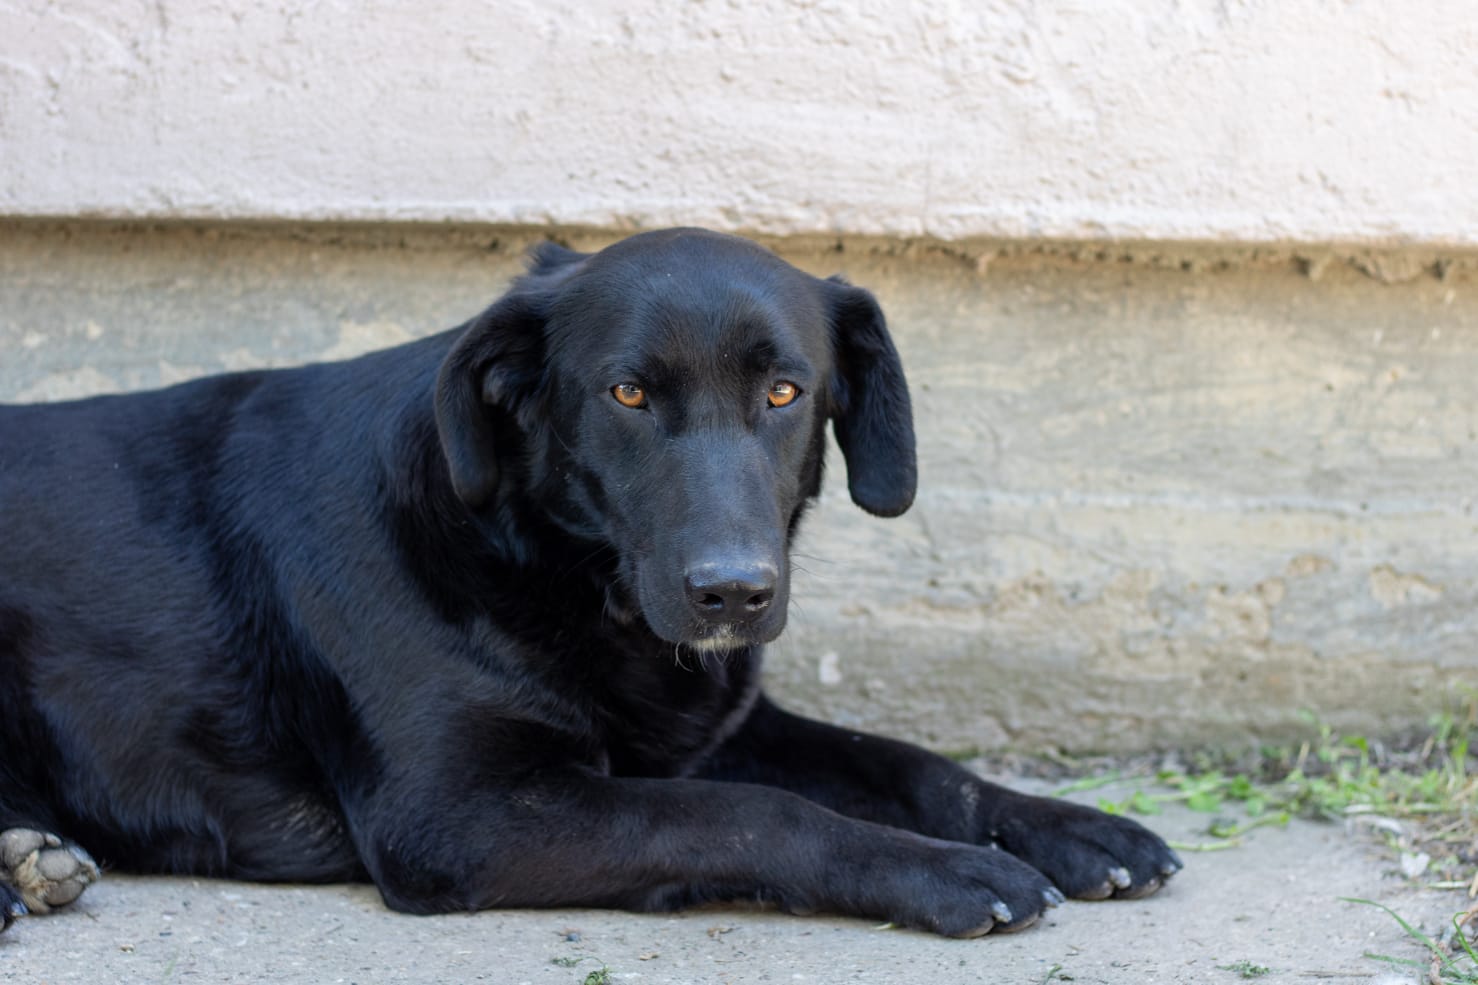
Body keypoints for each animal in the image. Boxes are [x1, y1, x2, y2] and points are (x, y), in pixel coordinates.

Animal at [0, 228, 1179, 938]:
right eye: (627, 393)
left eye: (785, 392)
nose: (732, 594)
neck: (552, 567)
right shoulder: (457, 815)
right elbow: (746, 811)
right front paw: (948, 870)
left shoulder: (712, 724)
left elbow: (902, 761)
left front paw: (1067, 825)